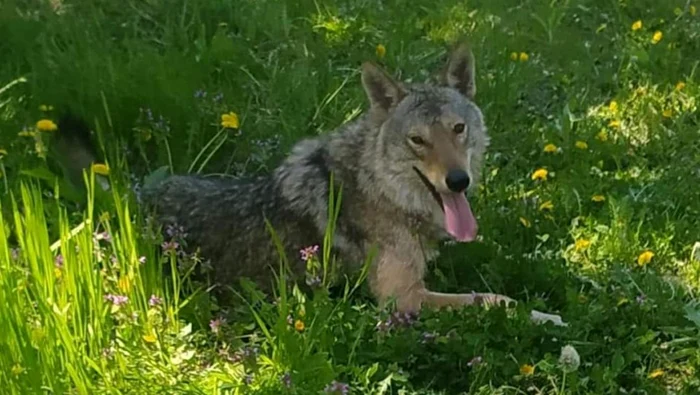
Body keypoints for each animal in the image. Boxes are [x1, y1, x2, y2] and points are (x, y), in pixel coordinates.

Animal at [142, 41, 568, 326]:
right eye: (418, 140)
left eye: (458, 129)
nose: (459, 181)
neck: (380, 188)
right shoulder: (404, 299)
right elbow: (494, 299)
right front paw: (544, 315)